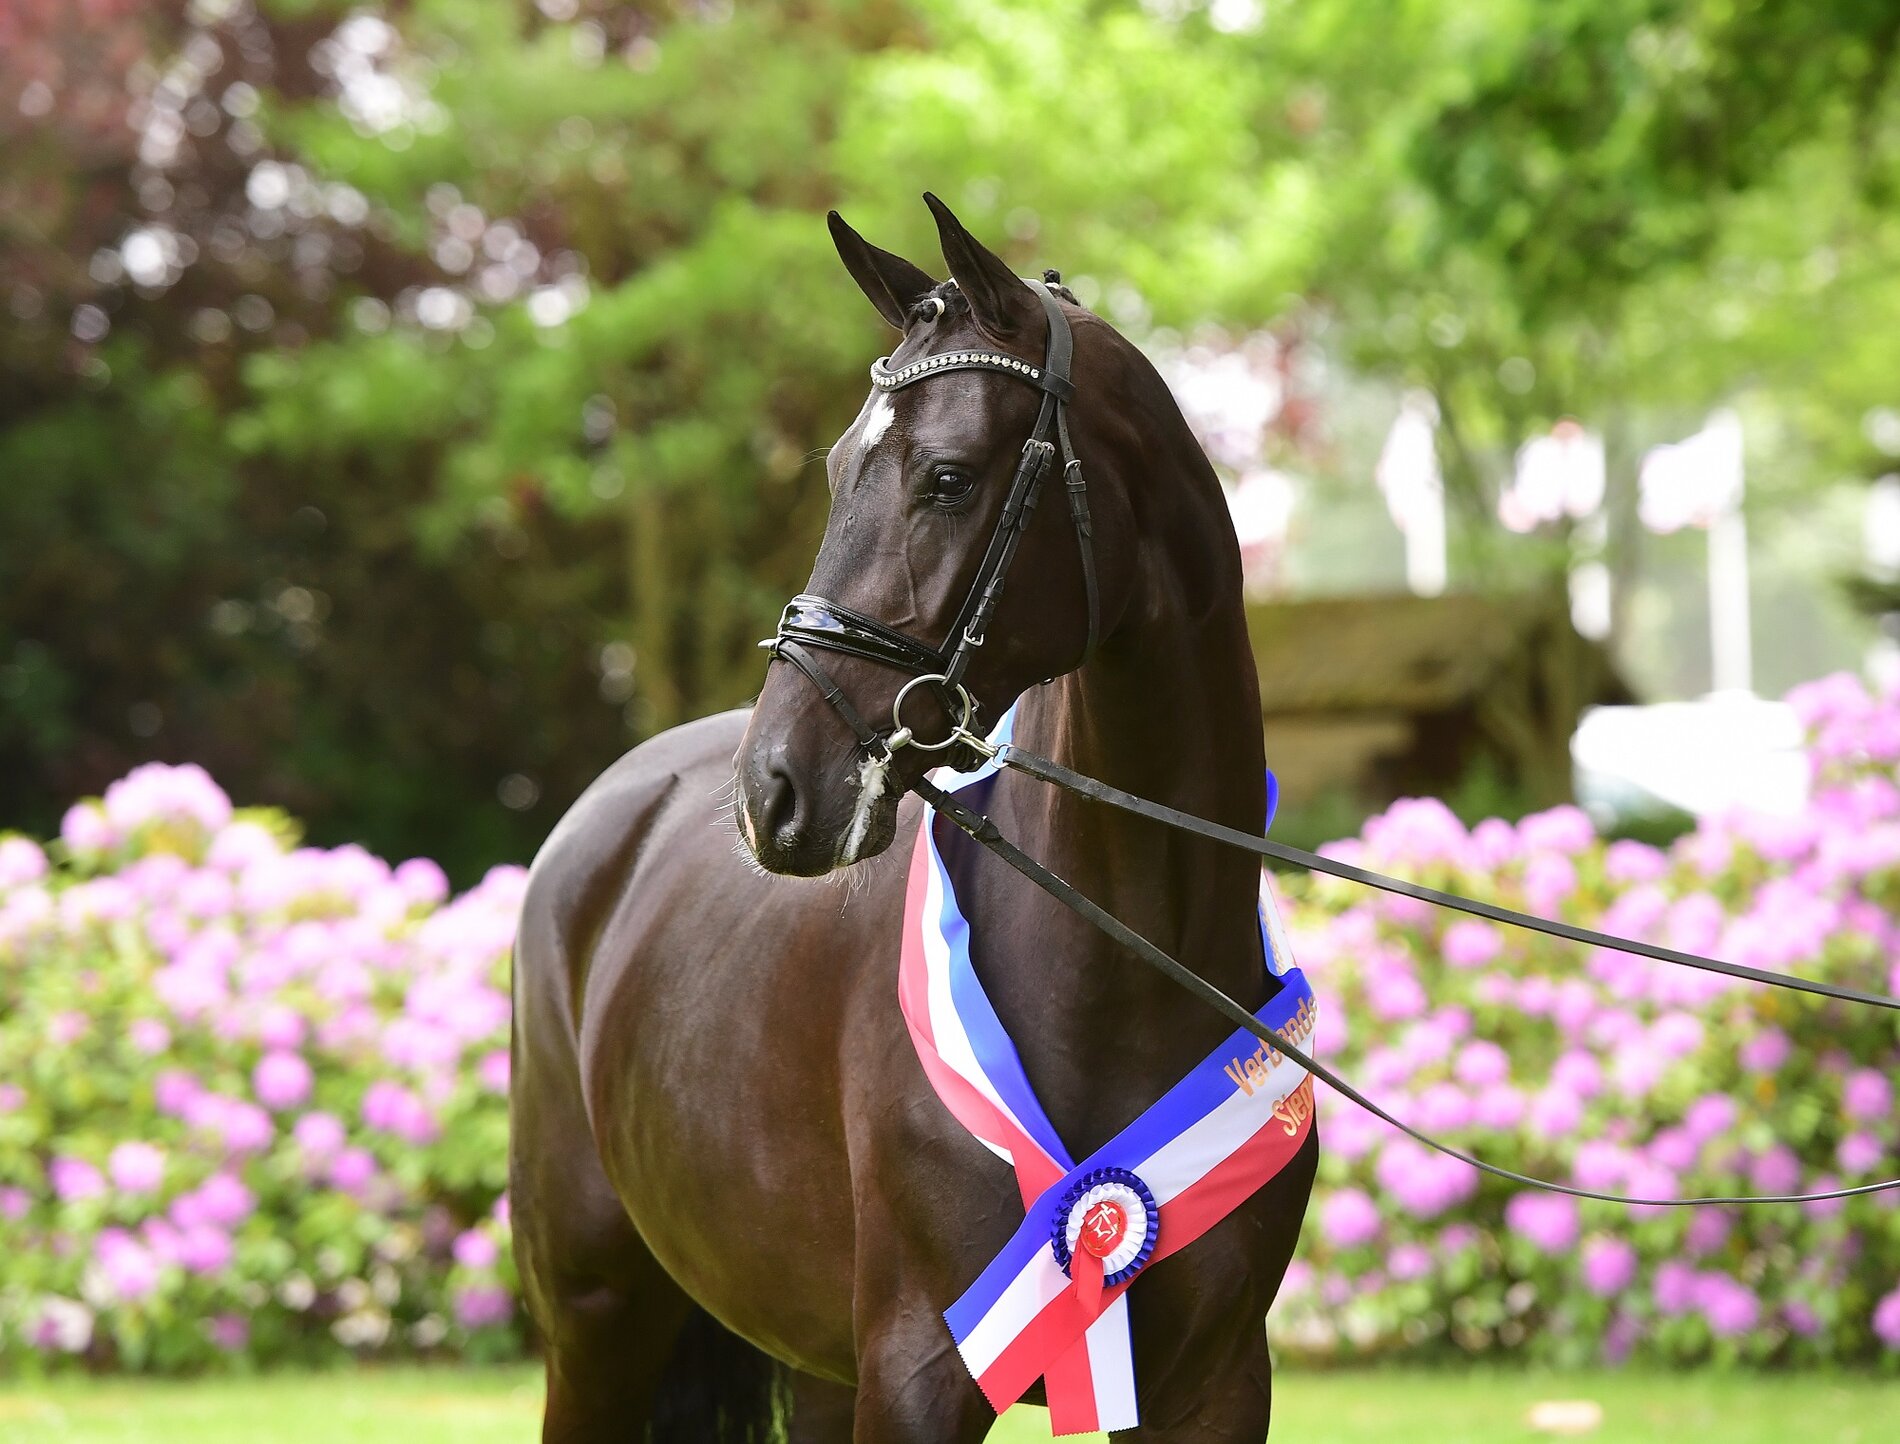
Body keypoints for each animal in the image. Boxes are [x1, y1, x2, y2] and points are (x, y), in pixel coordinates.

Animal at [510, 193, 1317, 1442]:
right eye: (842, 467)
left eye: (946, 476)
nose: (774, 791)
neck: (1131, 960)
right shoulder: (918, 1371)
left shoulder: (1218, 1382)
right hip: (598, 1324)